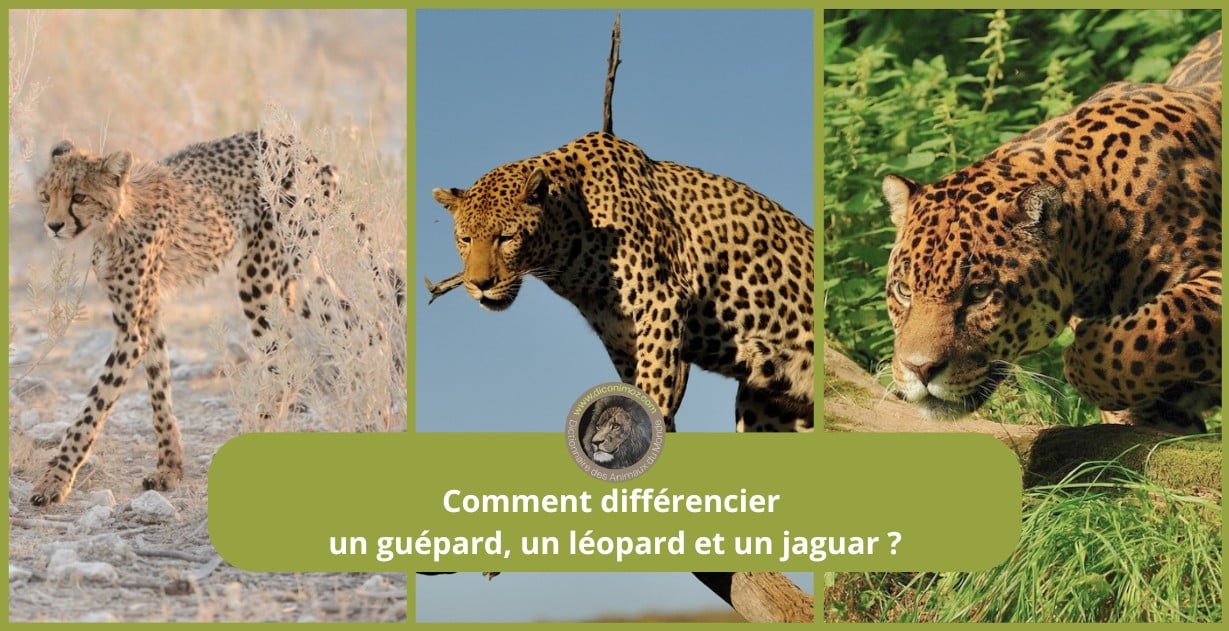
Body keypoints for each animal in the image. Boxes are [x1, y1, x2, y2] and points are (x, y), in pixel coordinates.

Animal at [29, 130, 373, 506]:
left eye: (79, 196)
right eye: (46, 195)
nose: (53, 226)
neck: (114, 221)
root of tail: (304, 150)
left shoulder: (131, 331)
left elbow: (94, 406)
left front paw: (55, 480)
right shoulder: (146, 317)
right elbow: (159, 386)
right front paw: (169, 467)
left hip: (261, 273)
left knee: (287, 365)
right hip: (299, 271)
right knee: (361, 323)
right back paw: (373, 401)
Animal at [432, 131, 814, 432]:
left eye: (506, 238)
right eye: (465, 240)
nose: (480, 283)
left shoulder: (662, 304)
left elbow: (653, 385)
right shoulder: (620, 335)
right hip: (766, 409)